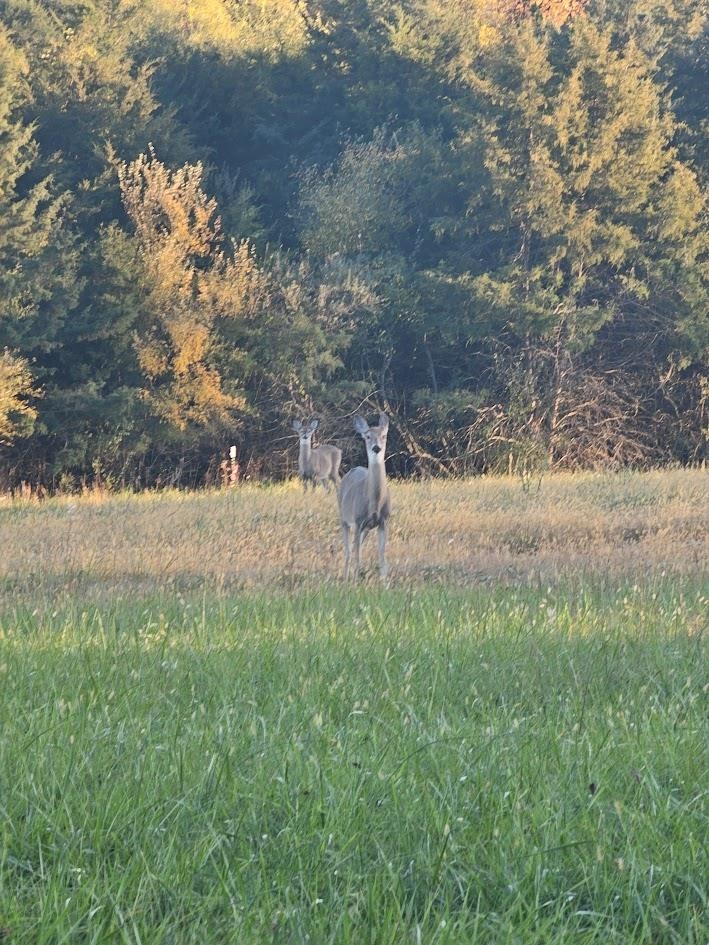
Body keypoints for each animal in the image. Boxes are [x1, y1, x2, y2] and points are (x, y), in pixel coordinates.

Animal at [338, 414, 390, 584]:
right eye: (367, 437)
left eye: (384, 436)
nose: (376, 448)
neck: (374, 503)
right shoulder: (358, 520)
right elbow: (356, 554)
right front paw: (355, 581)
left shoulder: (383, 521)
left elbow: (382, 554)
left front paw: (384, 583)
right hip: (344, 518)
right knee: (349, 549)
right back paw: (345, 577)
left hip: (365, 528)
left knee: (355, 545)